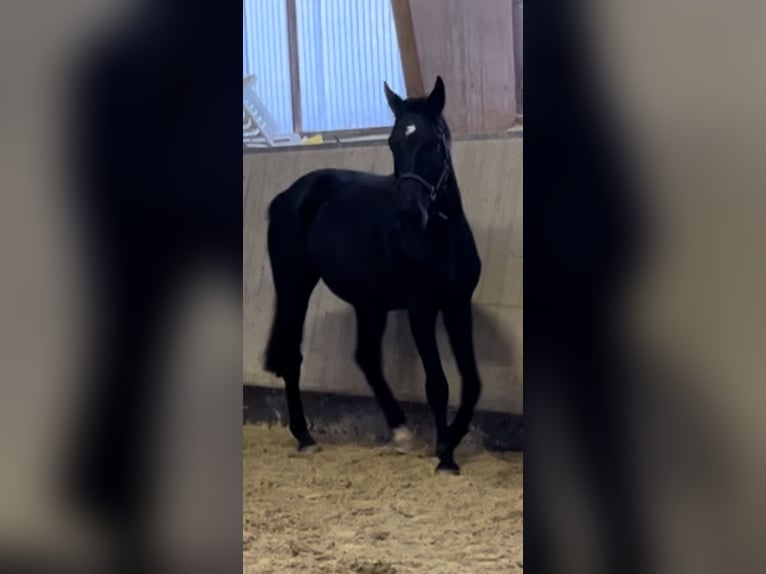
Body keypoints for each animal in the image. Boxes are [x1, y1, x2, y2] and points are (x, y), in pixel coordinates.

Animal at [263, 76, 482, 474]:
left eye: (433, 142)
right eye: (393, 143)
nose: (409, 213)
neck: (438, 238)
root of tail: (288, 196)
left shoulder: (458, 305)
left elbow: (471, 381)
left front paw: (452, 440)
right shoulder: (420, 309)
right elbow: (438, 384)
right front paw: (445, 455)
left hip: (369, 303)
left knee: (366, 357)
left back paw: (401, 432)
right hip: (294, 288)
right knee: (292, 356)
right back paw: (304, 437)